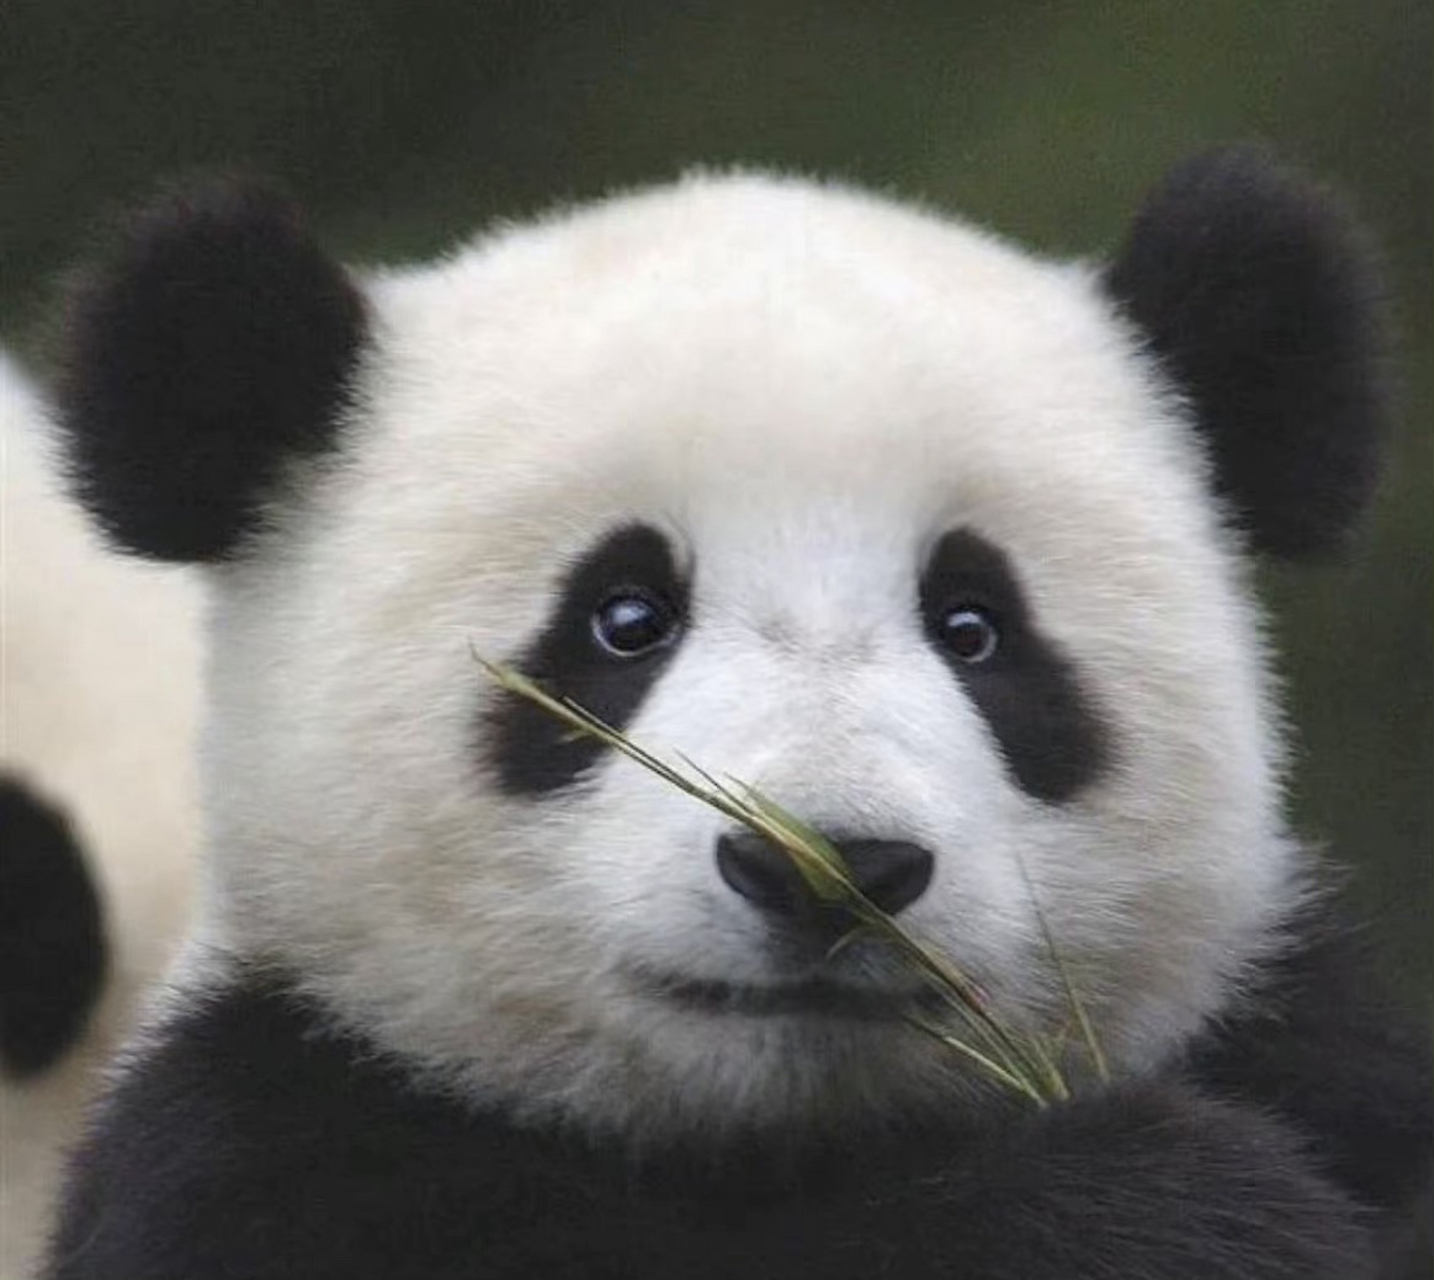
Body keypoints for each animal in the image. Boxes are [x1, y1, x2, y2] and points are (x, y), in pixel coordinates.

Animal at [41, 148, 1430, 1278]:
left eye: (974, 626)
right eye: (624, 617)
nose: (833, 868)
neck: (778, 1148)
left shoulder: (1308, 1049)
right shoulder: (275, 1137)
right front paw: (1163, 1209)